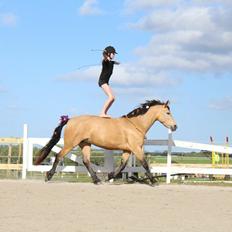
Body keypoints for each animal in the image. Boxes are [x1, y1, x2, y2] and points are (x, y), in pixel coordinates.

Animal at [34, 99, 177, 185]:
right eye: (167, 112)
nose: (175, 126)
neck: (135, 125)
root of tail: (69, 120)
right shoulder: (136, 148)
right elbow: (144, 164)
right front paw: (154, 181)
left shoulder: (127, 150)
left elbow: (122, 165)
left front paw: (109, 176)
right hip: (70, 144)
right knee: (59, 156)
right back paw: (48, 176)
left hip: (85, 144)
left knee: (86, 161)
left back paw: (97, 180)